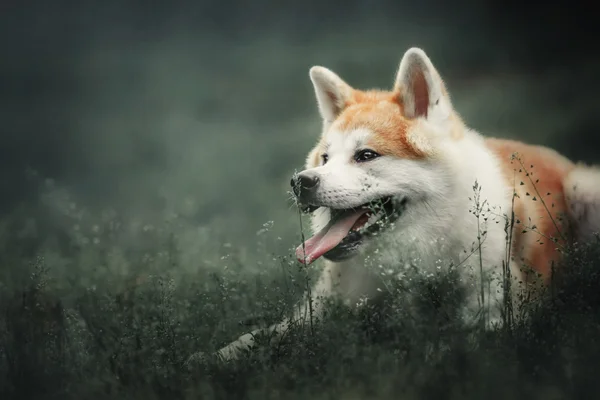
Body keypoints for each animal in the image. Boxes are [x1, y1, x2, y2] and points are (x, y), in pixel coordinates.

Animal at [191, 46, 600, 362]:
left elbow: (447, 348)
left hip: (585, 189)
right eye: (325, 158)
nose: (300, 182)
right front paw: (209, 360)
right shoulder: (317, 310)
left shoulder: (489, 318)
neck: (406, 262)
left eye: (366, 155)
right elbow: (255, 336)